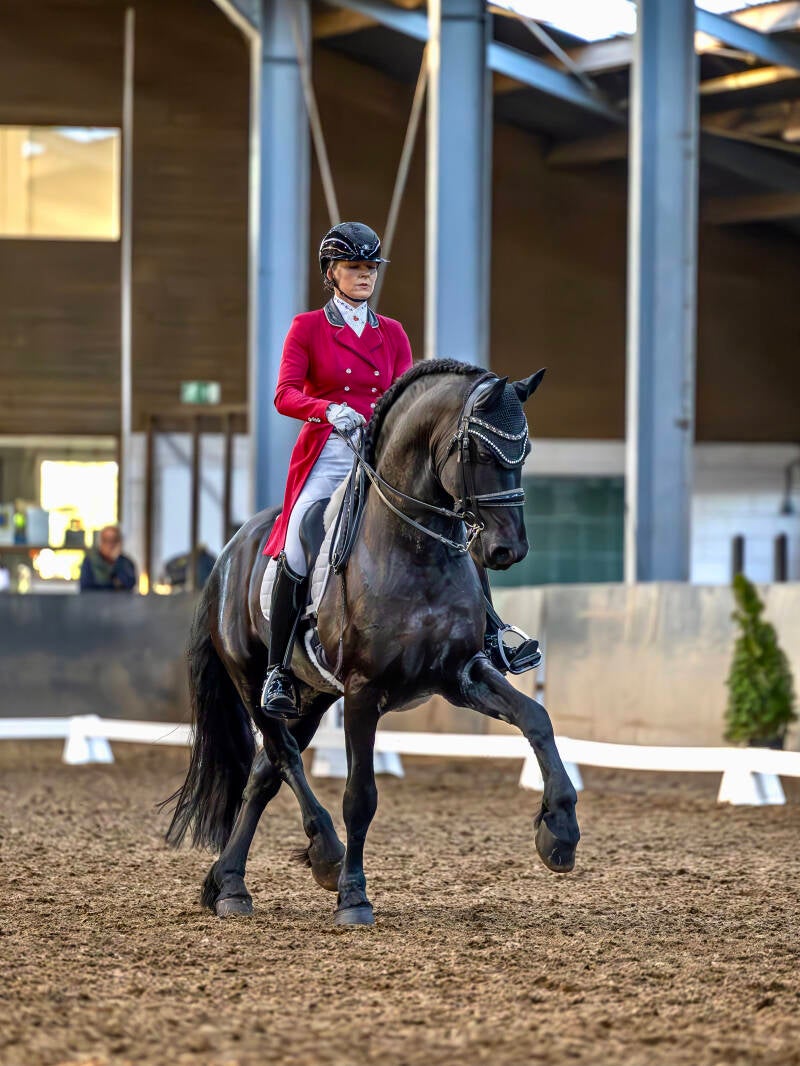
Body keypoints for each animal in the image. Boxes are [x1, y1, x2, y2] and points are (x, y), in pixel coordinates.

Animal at [165, 358, 580, 926]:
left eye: (526, 449)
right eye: (475, 449)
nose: (507, 549)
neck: (415, 549)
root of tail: (230, 551)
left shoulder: (462, 673)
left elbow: (536, 719)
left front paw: (559, 831)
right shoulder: (364, 692)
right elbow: (360, 795)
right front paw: (354, 896)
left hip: (315, 695)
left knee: (263, 774)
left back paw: (229, 884)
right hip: (254, 682)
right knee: (284, 754)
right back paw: (323, 854)